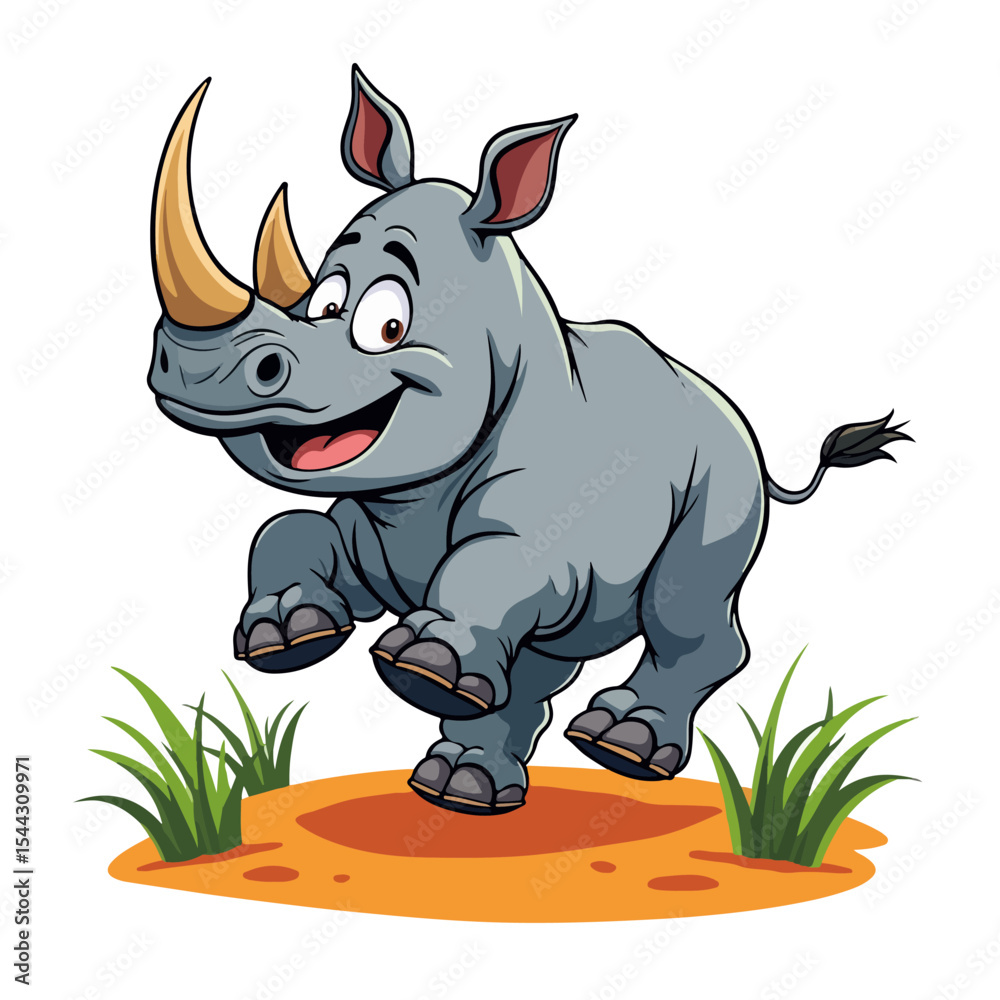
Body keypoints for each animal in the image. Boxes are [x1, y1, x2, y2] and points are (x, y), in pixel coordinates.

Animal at [148, 69, 911, 815]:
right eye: (325, 301)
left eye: (387, 325)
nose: (191, 367)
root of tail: (736, 417)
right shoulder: (375, 530)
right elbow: (289, 529)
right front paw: (287, 633)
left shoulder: (547, 538)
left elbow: (493, 566)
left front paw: (423, 665)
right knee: (534, 665)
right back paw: (463, 789)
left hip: (723, 477)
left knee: (680, 606)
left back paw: (618, 745)